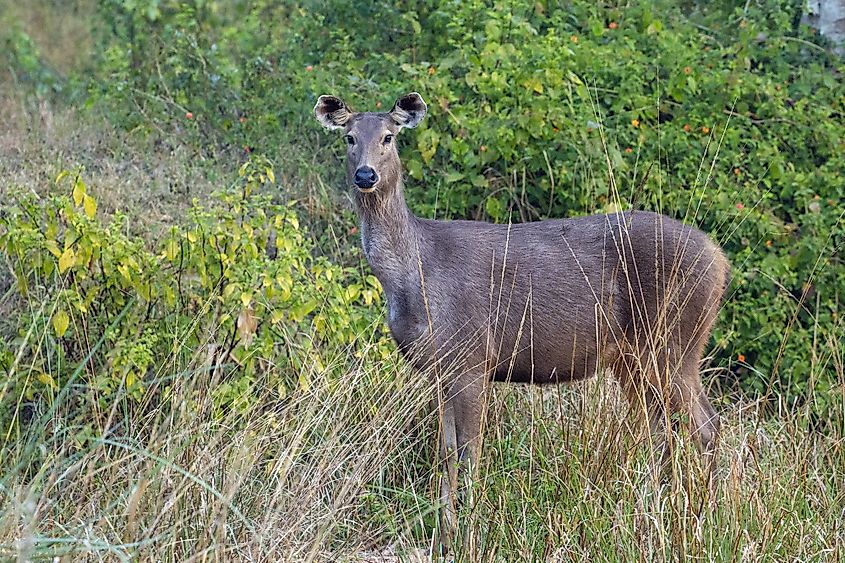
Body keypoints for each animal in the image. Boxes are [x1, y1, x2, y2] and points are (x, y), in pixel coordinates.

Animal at [314, 91, 728, 552]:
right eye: (349, 137)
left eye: (389, 136)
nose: (365, 175)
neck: (416, 276)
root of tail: (720, 260)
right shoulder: (440, 371)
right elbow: (445, 453)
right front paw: (443, 537)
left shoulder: (472, 358)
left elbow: (470, 453)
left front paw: (468, 538)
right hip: (635, 360)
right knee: (662, 432)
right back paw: (657, 518)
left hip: (676, 342)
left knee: (706, 426)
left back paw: (705, 520)